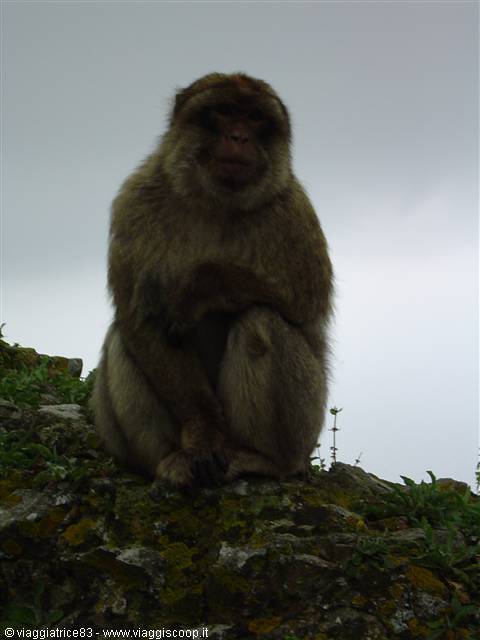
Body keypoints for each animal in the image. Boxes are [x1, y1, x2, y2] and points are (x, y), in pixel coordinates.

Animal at [91, 72, 333, 489]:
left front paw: (199, 288)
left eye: (255, 117)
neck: (214, 199)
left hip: (307, 428)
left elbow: (307, 300)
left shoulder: (292, 212)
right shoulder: (134, 203)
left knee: (260, 321)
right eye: (224, 111)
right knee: (123, 337)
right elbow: (141, 322)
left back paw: (264, 460)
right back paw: (168, 462)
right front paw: (203, 435)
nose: (239, 137)